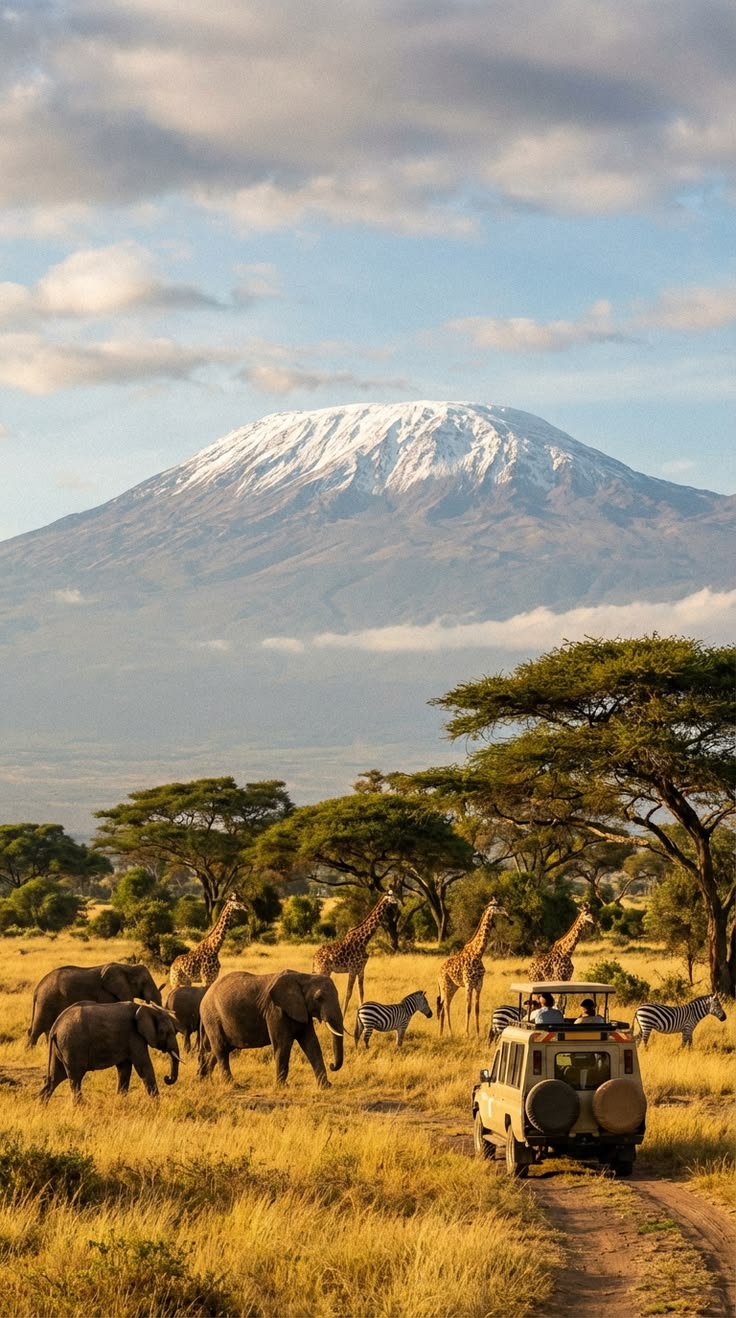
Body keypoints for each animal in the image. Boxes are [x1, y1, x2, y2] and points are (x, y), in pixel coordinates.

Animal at [27, 961, 162, 1046]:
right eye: (144, 982)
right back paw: (30, 1051)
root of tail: (37, 989)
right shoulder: (106, 993)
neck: (126, 967)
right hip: (46, 1000)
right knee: (37, 1029)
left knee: (46, 1028)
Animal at [39, 999, 180, 1104]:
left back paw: (42, 1107)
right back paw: (80, 1107)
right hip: (72, 1045)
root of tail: (55, 1027)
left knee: (56, 1077)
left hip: (61, 1047)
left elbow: (124, 1069)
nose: (167, 1078)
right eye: (168, 1032)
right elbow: (144, 1067)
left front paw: (120, 1102)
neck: (146, 1008)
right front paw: (157, 1106)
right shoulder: (135, 1037)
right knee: (75, 1078)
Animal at [198, 969, 344, 1088]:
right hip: (212, 1018)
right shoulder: (275, 1010)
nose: (332, 1065)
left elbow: (312, 1044)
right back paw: (231, 1085)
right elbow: (282, 1044)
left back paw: (207, 1081)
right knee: (221, 1049)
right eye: (318, 998)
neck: (303, 976)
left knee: (220, 1050)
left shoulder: (302, 1010)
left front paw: (326, 1086)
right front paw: (282, 1087)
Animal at [437, 899, 508, 1037]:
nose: (506, 912)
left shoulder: (479, 984)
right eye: (496, 905)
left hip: (452, 987)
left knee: (443, 1006)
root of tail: (438, 972)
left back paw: (442, 1033)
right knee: (446, 1006)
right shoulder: (469, 984)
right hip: (445, 985)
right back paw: (451, 1032)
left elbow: (476, 1008)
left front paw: (478, 1032)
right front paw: (467, 1033)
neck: (478, 953)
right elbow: (468, 1007)